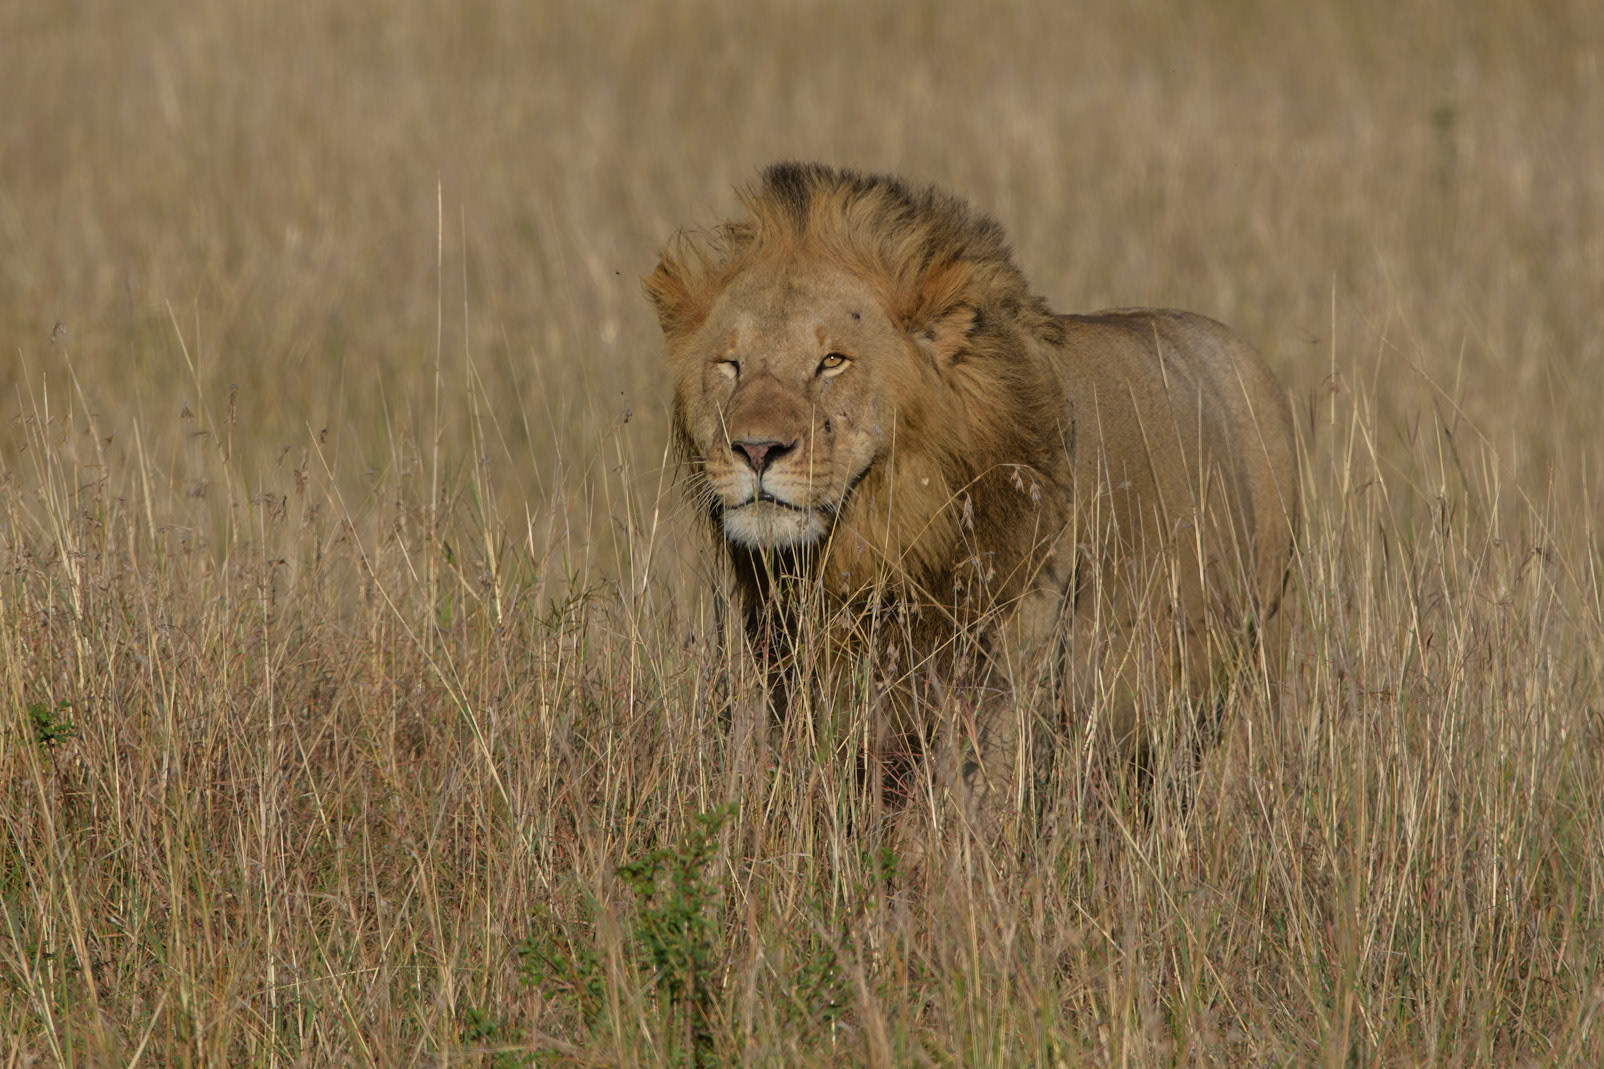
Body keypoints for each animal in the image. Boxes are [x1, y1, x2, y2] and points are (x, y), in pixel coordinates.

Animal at [646, 162, 1298, 839]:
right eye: (729, 364)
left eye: (833, 361)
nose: (755, 449)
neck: (882, 545)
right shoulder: (782, 651)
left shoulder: (1011, 658)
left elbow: (976, 795)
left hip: (1260, 647)